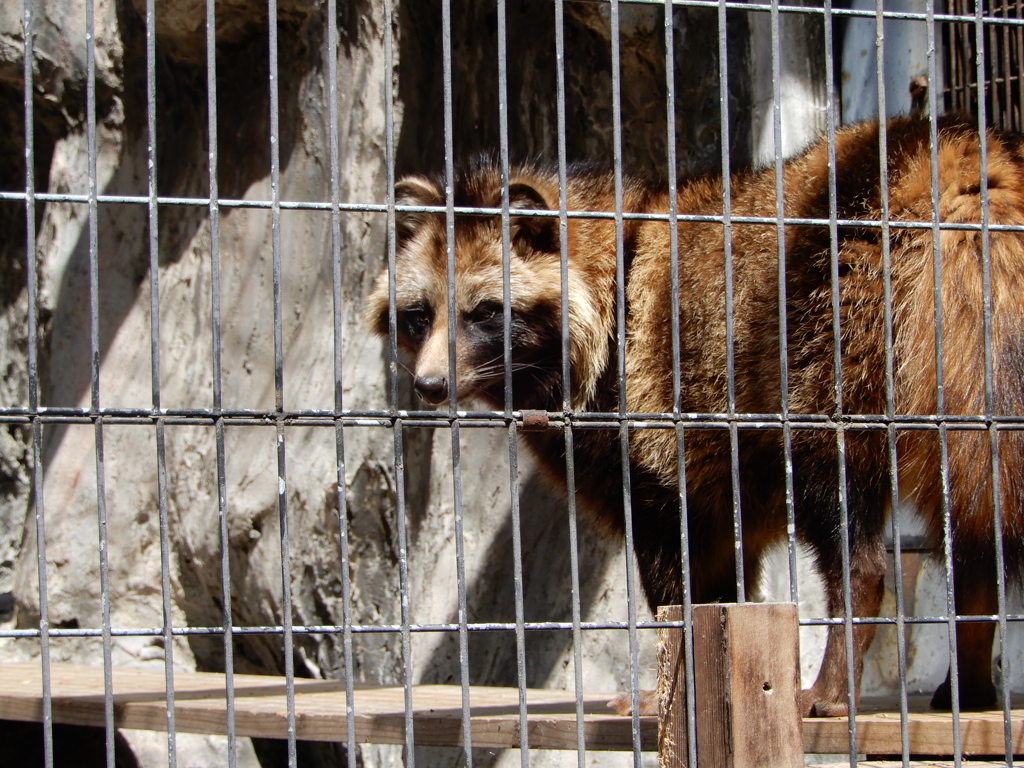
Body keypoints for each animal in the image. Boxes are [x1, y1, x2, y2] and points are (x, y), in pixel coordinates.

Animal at [368, 115, 1024, 720]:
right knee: (978, 533)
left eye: (484, 313)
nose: (429, 385)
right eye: (419, 316)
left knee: (850, 532)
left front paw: (672, 683)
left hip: (830, 351)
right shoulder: (723, 486)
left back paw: (839, 675)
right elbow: (725, 592)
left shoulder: (652, 438)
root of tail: (949, 153)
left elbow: (677, 586)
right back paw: (972, 676)